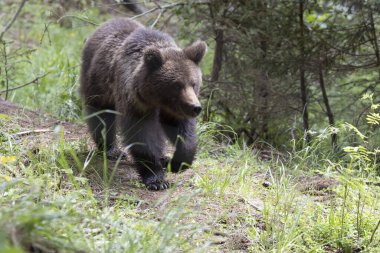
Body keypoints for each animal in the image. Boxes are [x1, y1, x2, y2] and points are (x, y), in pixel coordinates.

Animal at [78, 17, 206, 191]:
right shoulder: (136, 102)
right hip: (99, 84)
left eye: (193, 83)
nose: (195, 107)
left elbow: (182, 131)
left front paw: (177, 163)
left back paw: (164, 158)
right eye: (177, 85)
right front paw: (156, 179)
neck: (156, 99)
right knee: (102, 117)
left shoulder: (173, 109)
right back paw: (112, 149)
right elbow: (142, 134)